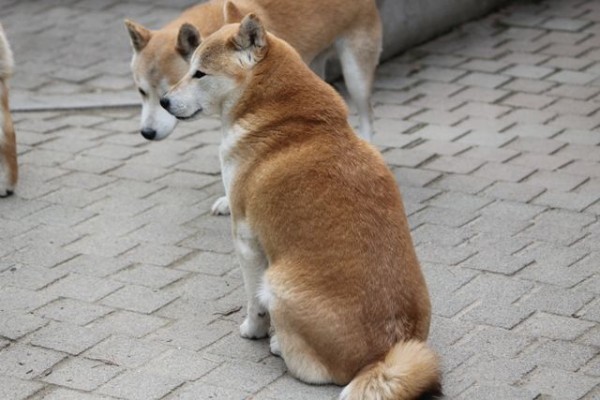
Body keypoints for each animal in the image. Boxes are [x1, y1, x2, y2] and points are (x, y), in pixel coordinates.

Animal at [159, 15, 440, 400]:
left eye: (199, 73)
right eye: (189, 69)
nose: (163, 101)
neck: (282, 114)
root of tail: (381, 357)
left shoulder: (246, 241)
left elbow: (254, 305)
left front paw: (253, 330)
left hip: (276, 282)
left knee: (311, 368)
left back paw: (279, 345)